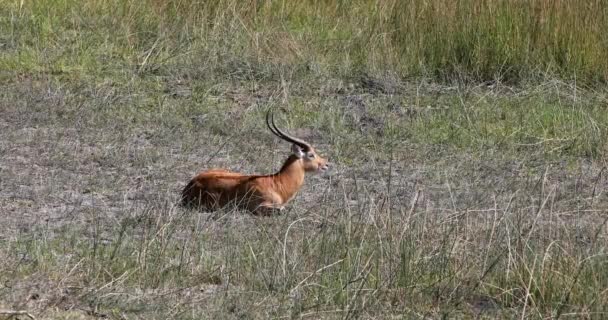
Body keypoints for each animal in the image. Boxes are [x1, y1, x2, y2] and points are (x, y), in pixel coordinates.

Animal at [180, 110, 330, 215]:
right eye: (311, 155)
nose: (326, 164)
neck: (278, 183)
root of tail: (192, 183)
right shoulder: (260, 206)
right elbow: (282, 209)